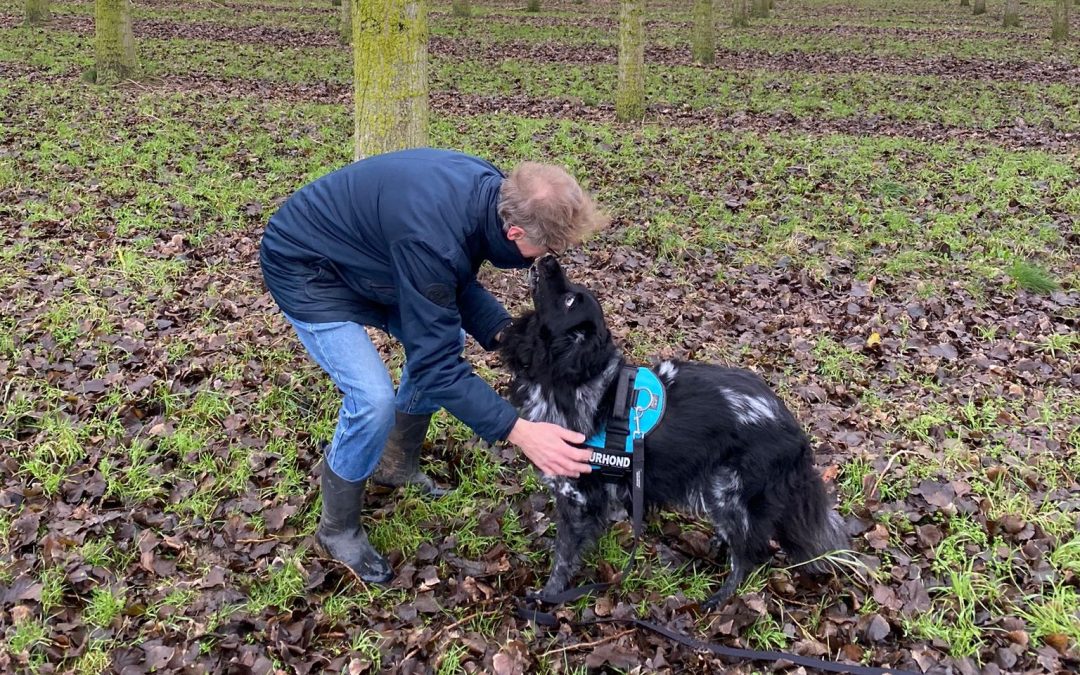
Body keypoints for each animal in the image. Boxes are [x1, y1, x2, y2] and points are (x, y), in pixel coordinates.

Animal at [501, 254, 846, 609]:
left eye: (569, 300)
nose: (548, 258)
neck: (578, 381)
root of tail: (796, 433)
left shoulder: (578, 496)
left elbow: (563, 557)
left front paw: (546, 598)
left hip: (728, 491)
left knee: (749, 554)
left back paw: (718, 598)